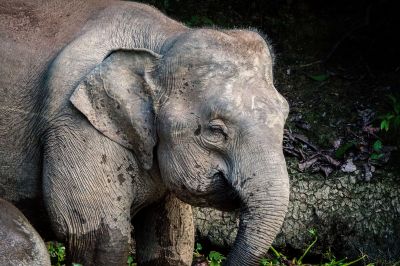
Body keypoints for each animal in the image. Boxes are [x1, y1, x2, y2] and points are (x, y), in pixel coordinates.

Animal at [0, 0, 288, 266]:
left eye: (285, 114)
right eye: (215, 131)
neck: (166, 41)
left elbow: (172, 237)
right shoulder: (76, 125)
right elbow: (97, 240)